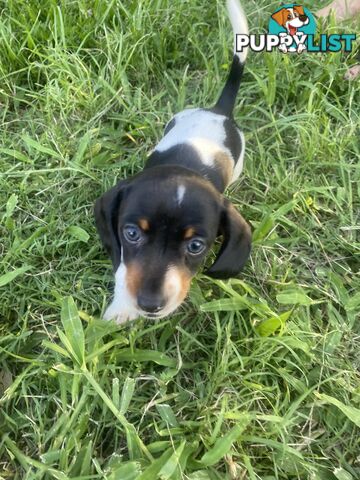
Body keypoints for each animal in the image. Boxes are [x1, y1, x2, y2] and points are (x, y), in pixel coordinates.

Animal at [96, 0, 253, 324]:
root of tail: (218, 111)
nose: (149, 305)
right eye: (131, 233)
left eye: (196, 246)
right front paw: (121, 308)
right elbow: (123, 270)